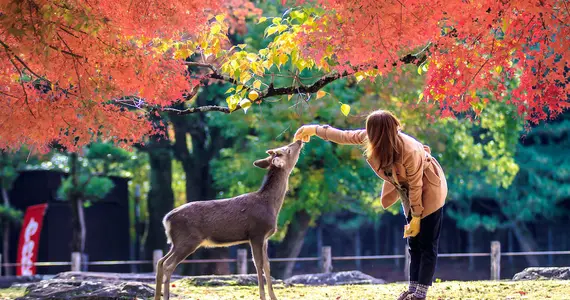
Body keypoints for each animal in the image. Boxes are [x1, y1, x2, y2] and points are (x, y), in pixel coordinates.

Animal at [151, 140, 302, 300]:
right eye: (287, 150)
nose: (299, 141)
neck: (271, 205)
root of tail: (166, 219)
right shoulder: (256, 233)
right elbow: (258, 264)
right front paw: (262, 296)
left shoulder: (265, 237)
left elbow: (267, 265)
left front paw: (274, 297)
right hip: (188, 239)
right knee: (168, 264)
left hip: (176, 242)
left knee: (160, 262)